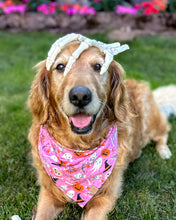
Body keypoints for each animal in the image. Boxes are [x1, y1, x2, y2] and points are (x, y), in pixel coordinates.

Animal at [27, 34, 175, 220]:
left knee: (163, 132)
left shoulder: (105, 197)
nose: (80, 96)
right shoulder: (49, 193)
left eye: (98, 66)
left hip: (150, 119)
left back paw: (164, 151)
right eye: (60, 66)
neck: (79, 147)